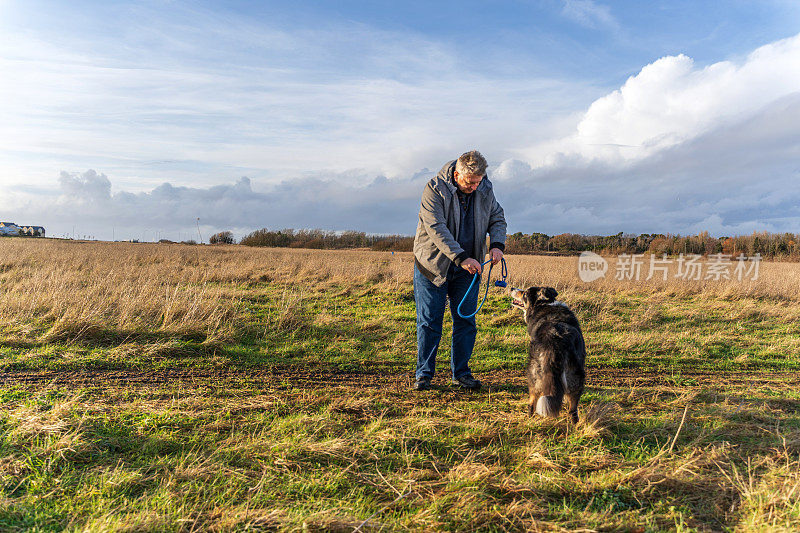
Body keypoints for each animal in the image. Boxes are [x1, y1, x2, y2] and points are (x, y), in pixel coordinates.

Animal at [510, 284, 584, 422]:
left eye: (524, 293)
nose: (512, 288)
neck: (543, 304)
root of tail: (555, 340)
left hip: (534, 372)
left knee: (532, 400)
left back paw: (529, 419)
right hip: (575, 374)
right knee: (573, 408)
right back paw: (575, 424)